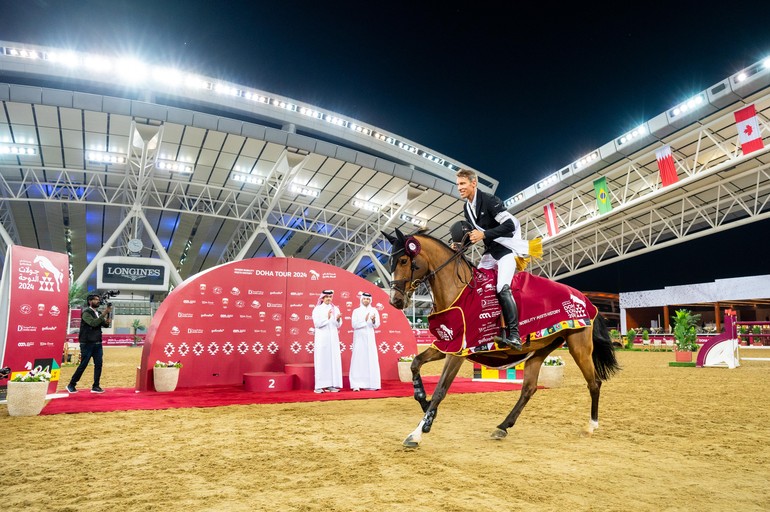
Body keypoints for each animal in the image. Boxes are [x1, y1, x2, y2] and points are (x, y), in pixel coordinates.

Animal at [384, 229, 616, 448]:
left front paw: (418, 432)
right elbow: (415, 363)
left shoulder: (459, 351)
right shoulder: (447, 344)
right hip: (539, 350)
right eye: (390, 263)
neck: (458, 289)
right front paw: (423, 400)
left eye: (403, 260)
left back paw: (591, 426)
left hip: (579, 347)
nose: (395, 300)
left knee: (594, 383)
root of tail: (585, 299)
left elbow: (441, 389)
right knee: (528, 389)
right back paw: (503, 426)